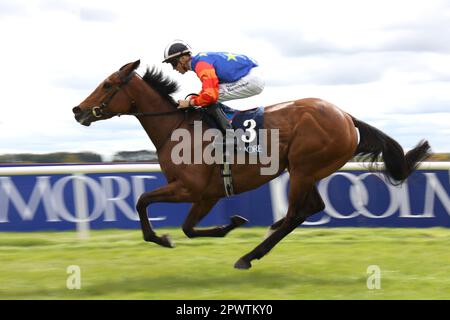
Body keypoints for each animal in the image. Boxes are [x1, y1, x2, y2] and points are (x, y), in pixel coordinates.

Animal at [72, 58, 430, 268]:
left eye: (107, 84)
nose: (77, 110)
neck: (176, 128)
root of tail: (344, 116)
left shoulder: (189, 188)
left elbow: (142, 201)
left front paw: (162, 238)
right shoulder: (207, 194)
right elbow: (188, 228)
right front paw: (229, 224)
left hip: (303, 168)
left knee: (296, 213)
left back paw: (249, 256)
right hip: (307, 171)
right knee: (309, 208)